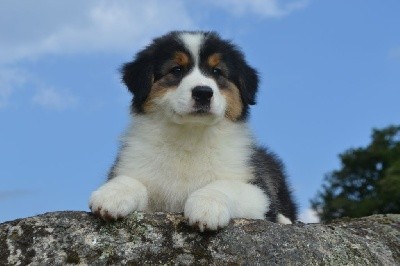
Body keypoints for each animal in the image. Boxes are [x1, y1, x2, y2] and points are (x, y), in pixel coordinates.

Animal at [90, 30, 296, 231]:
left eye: (217, 71)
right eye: (176, 70)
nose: (203, 92)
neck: (190, 136)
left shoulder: (258, 189)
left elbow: (226, 185)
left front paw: (207, 207)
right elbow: (132, 180)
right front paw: (112, 194)